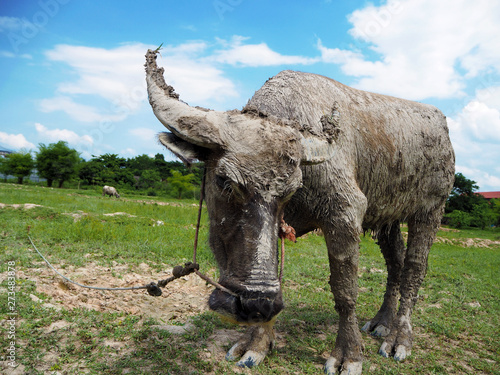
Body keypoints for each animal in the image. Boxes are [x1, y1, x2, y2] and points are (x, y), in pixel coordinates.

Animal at [144, 48, 454, 374]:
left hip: (431, 211)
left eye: (292, 189)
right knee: (395, 262)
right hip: (388, 218)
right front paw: (256, 343)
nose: (255, 303)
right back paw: (381, 322)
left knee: (414, 267)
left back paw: (399, 339)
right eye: (223, 180)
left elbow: (345, 290)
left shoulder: (346, 212)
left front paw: (349, 355)